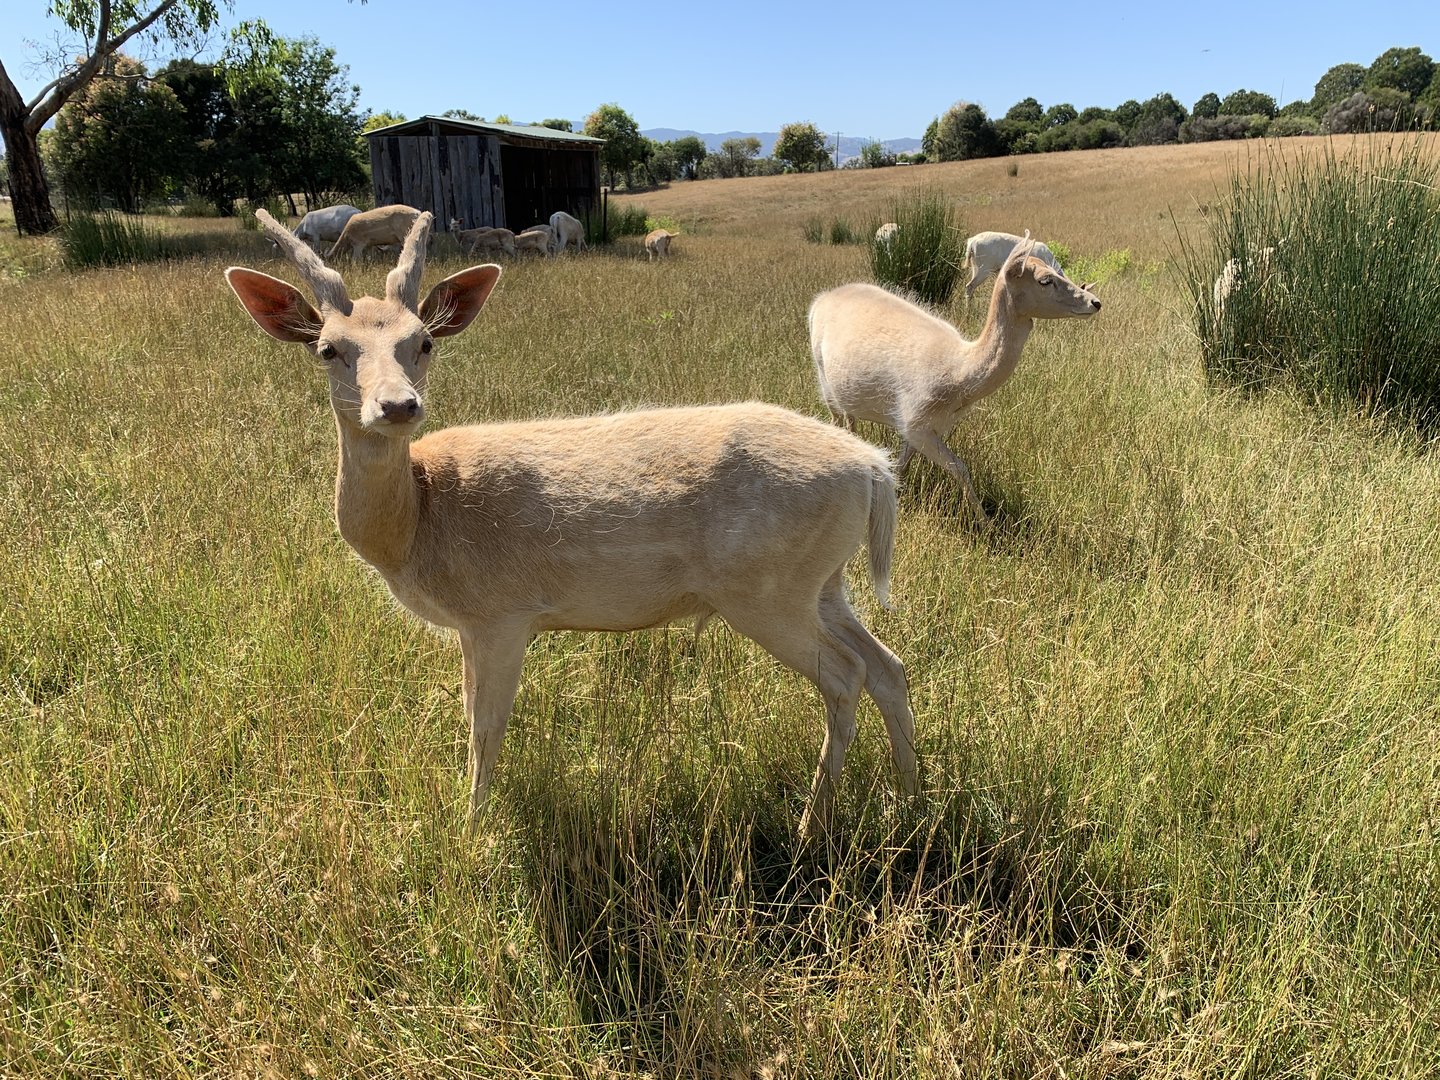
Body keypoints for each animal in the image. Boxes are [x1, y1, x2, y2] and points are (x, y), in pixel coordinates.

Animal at [224, 209, 918, 841]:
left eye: (423, 341)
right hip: (823, 581)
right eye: (328, 348)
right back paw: (911, 798)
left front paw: (472, 832)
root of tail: (872, 469)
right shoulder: (473, 624)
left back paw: (810, 823)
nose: (397, 405)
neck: (420, 518)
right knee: (888, 666)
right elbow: (472, 717)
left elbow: (483, 728)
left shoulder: (501, 613)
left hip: (767, 588)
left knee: (847, 676)